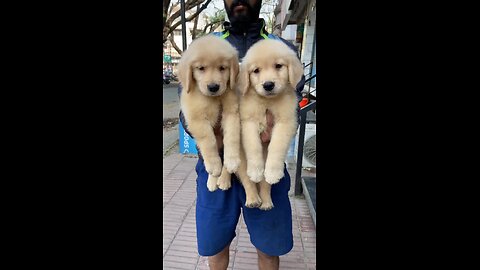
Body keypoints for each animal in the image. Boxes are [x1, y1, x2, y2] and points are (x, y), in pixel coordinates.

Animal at [178, 35, 242, 192]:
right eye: (201, 68)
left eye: (222, 68)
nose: (213, 87)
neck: (213, 98)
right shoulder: (196, 118)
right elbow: (208, 141)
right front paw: (213, 166)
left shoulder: (232, 112)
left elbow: (232, 137)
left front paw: (232, 160)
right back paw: (213, 181)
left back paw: (223, 180)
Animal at [237, 39, 302, 210]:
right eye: (256, 70)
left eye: (278, 66)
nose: (268, 85)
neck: (267, 101)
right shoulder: (248, 121)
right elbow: (253, 147)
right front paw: (255, 170)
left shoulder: (286, 122)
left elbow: (276, 146)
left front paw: (273, 172)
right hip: (241, 162)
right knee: (248, 182)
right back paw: (253, 199)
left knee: (265, 185)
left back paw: (266, 202)